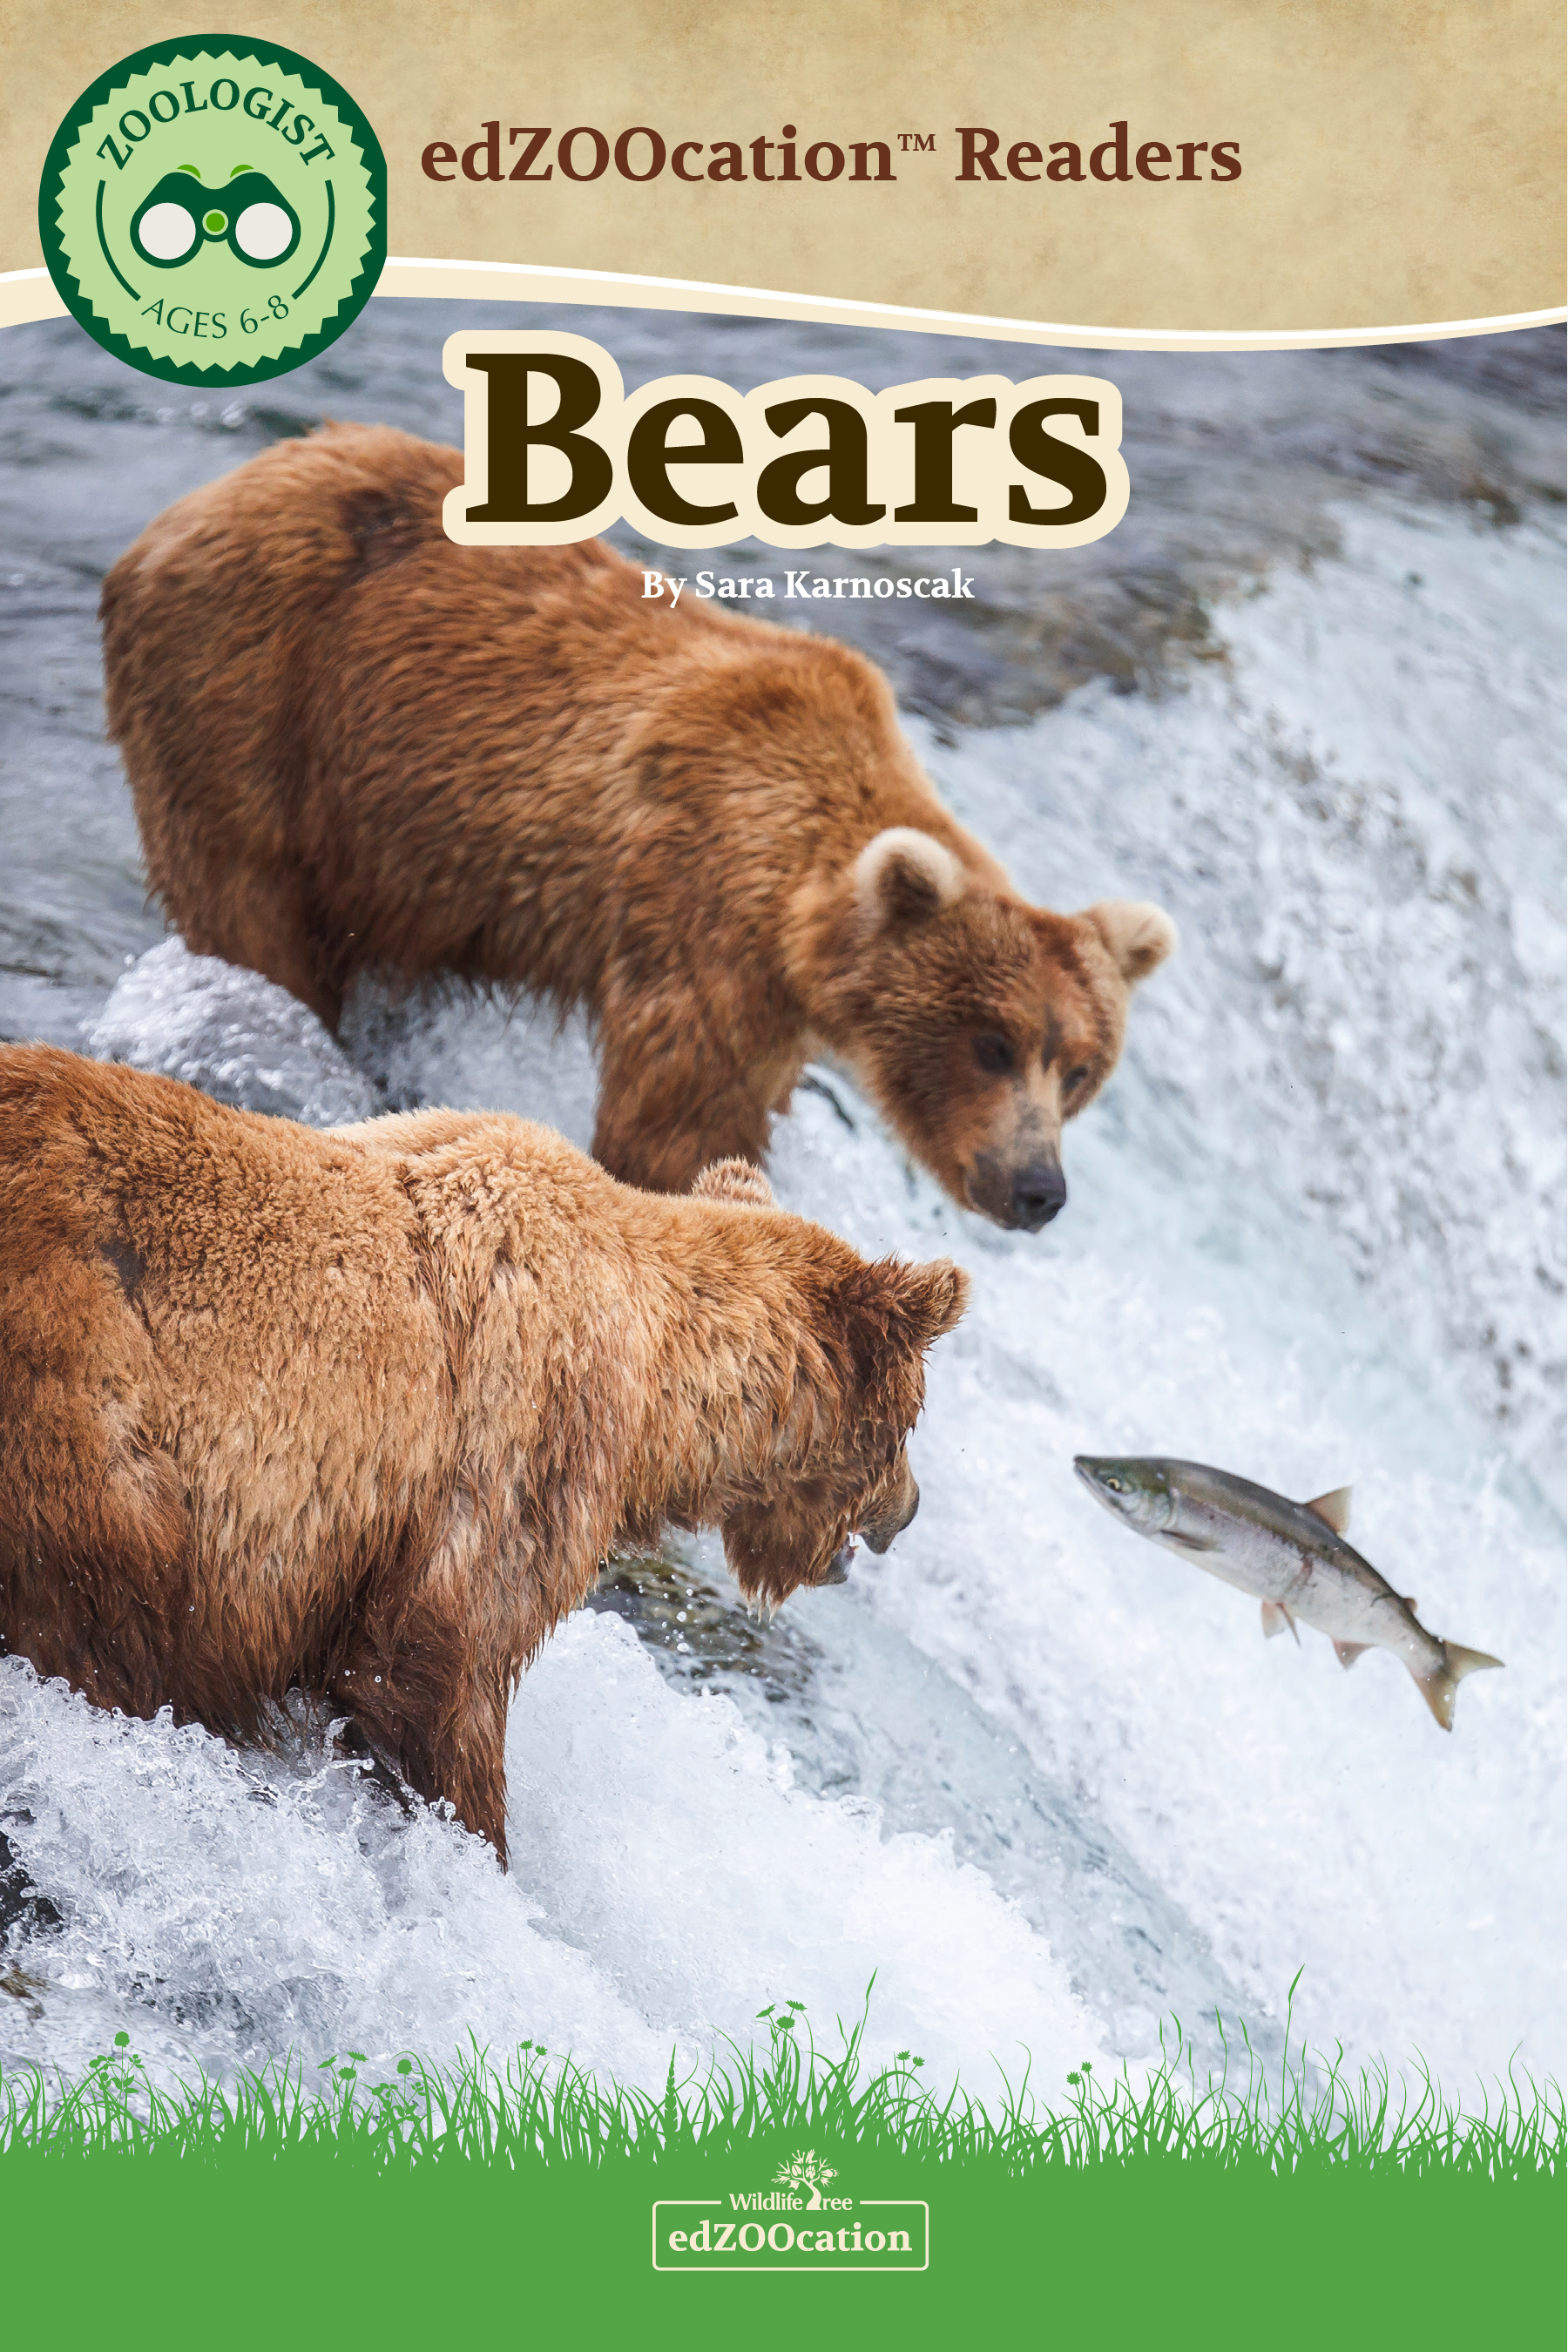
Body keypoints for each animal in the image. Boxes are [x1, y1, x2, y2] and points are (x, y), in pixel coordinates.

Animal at [0, 1045, 967, 1865]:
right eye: (911, 1423)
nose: (911, 1507)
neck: (657, 1396)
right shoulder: (519, 1446)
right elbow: (439, 1678)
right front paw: (481, 1846)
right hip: (91, 1415)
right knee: (103, 1619)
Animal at [100, 424, 1177, 1231]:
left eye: (1080, 1068)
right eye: (991, 1044)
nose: (1038, 1189)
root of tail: (199, 500)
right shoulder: (701, 921)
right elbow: (672, 1128)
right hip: (253, 702)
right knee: (250, 907)